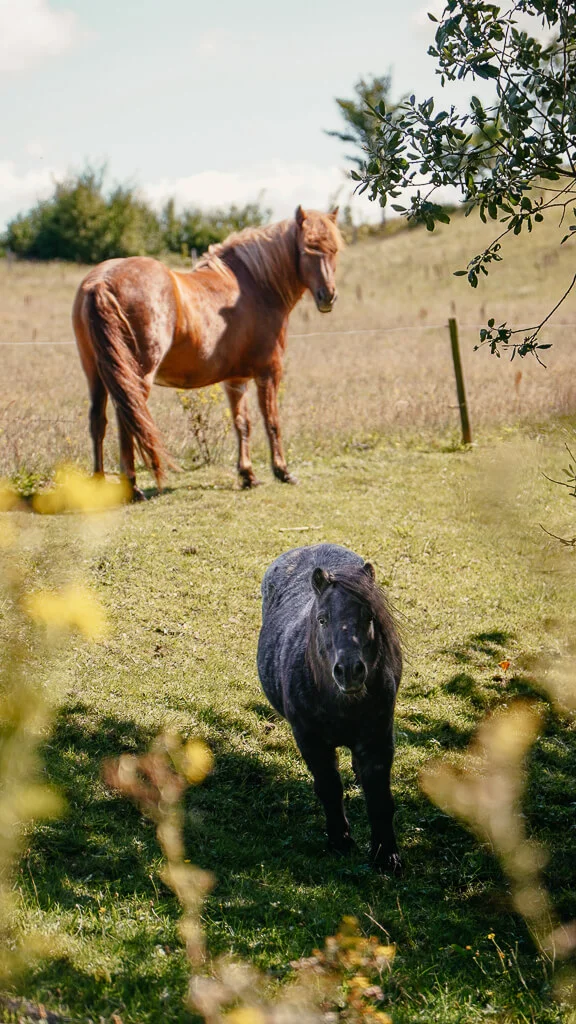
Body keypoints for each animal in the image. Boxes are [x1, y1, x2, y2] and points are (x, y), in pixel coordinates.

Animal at [72, 206, 343, 500]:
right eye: (307, 249)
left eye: (334, 250)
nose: (327, 296)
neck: (255, 286)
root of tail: (101, 281)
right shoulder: (269, 372)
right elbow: (272, 421)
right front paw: (282, 471)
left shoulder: (235, 380)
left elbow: (242, 423)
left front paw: (247, 474)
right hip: (136, 376)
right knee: (128, 420)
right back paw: (132, 487)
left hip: (95, 373)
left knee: (98, 421)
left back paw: (98, 482)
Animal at [257, 543, 403, 874]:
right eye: (322, 619)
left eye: (369, 616)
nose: (349, 671)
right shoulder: (311, 741)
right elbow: (329, 788)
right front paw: (340, 842)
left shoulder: (378, 740)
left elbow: (379, 798)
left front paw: (386, 855)